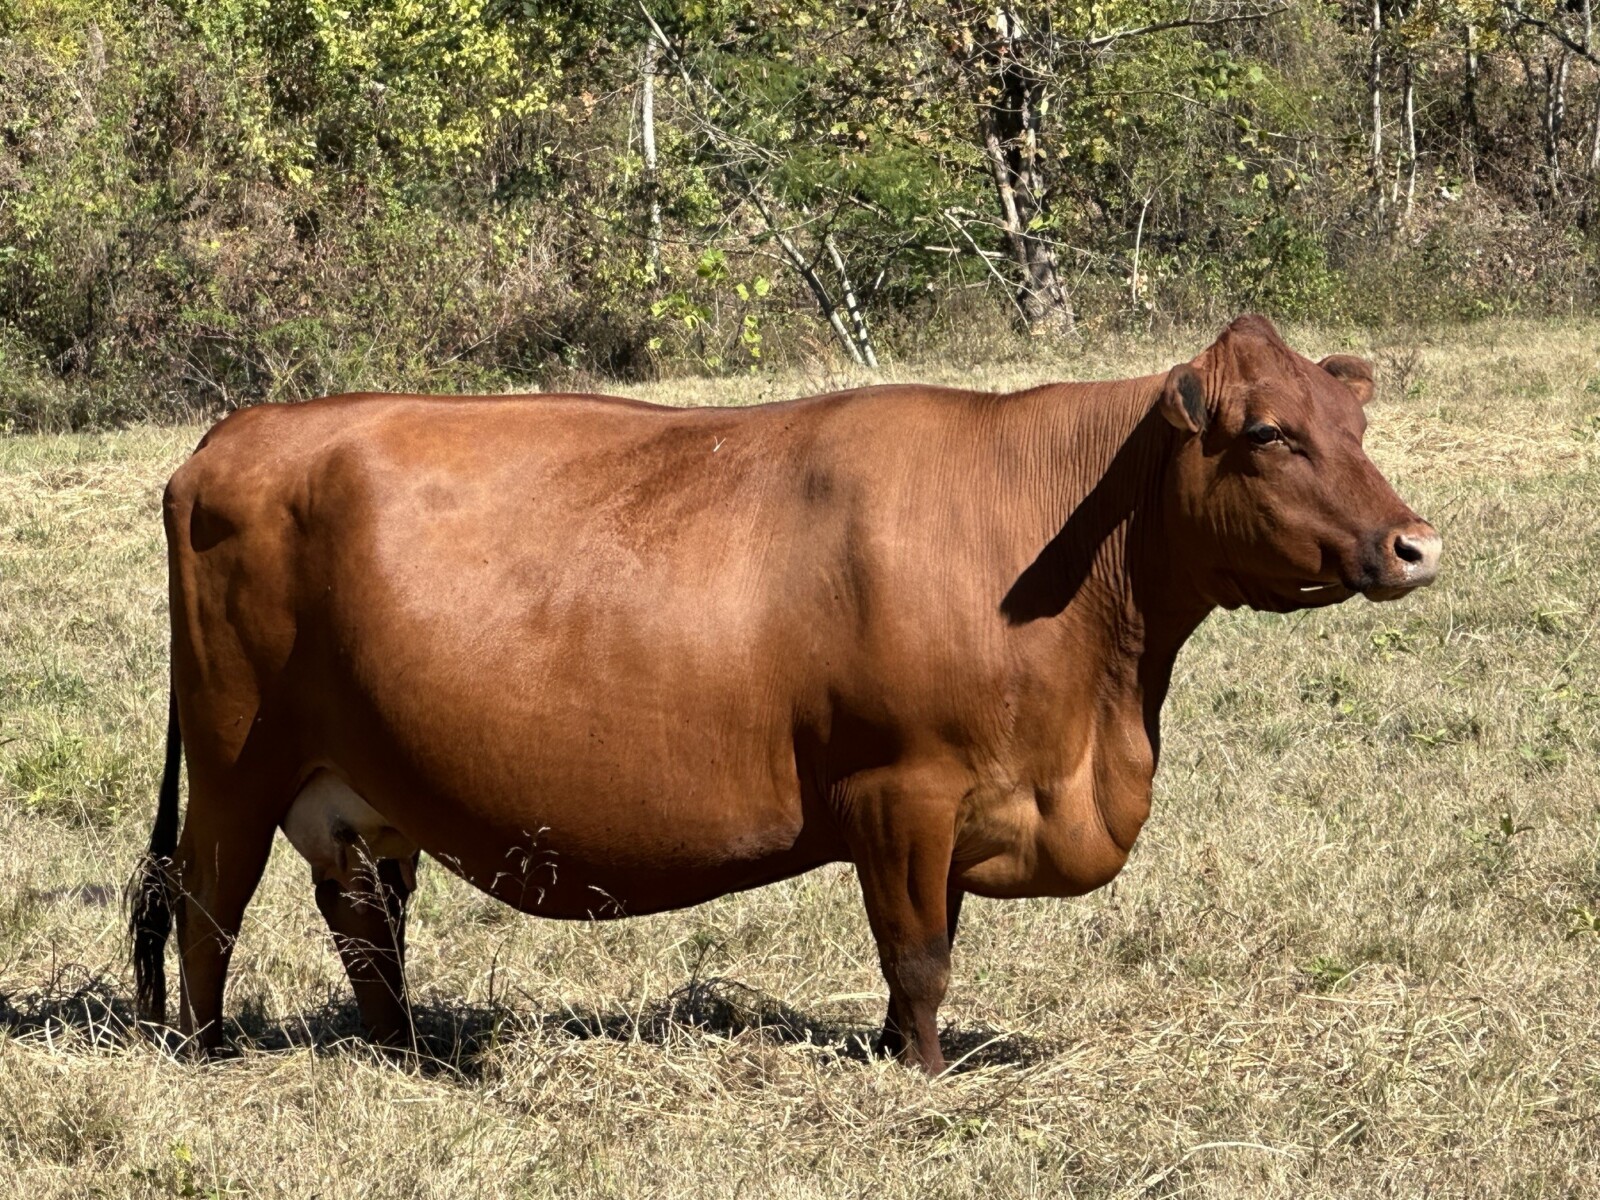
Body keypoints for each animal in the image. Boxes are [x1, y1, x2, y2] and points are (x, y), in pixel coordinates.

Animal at [129, 315, 1441, 1073]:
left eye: (1353, 419)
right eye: (1267, 432)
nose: (1414, 544)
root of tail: (237, 431)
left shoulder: (946, 811)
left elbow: (926, 944)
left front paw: (894, 1056)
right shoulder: (899, 788)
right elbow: (917, 952)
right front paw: (923, 1076)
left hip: (349, 787)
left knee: (364, 918)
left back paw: (408, 1055)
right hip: (236, 759)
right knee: (206, 901)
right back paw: (204, 1052)